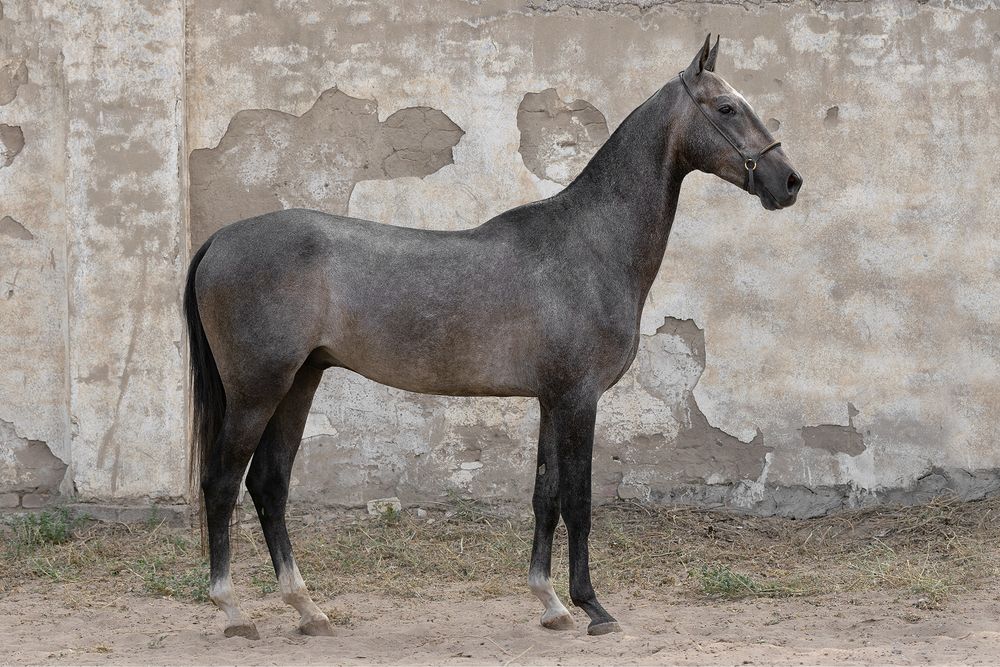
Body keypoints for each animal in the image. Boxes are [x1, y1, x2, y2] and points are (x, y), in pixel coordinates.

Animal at [184, 35, 802, 640]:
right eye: (726, 108)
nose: (790, 182)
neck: (589, 244)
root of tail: (219, 240)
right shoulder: (579, 399)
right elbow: (579, 502)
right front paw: (593, 607)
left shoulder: (552, 399)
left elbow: (545, 497)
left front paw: (551, 604)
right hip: (258, 390)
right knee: (222, 483)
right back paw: (233, 611)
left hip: (300, 382)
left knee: (269, 484)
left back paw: (309, 610)